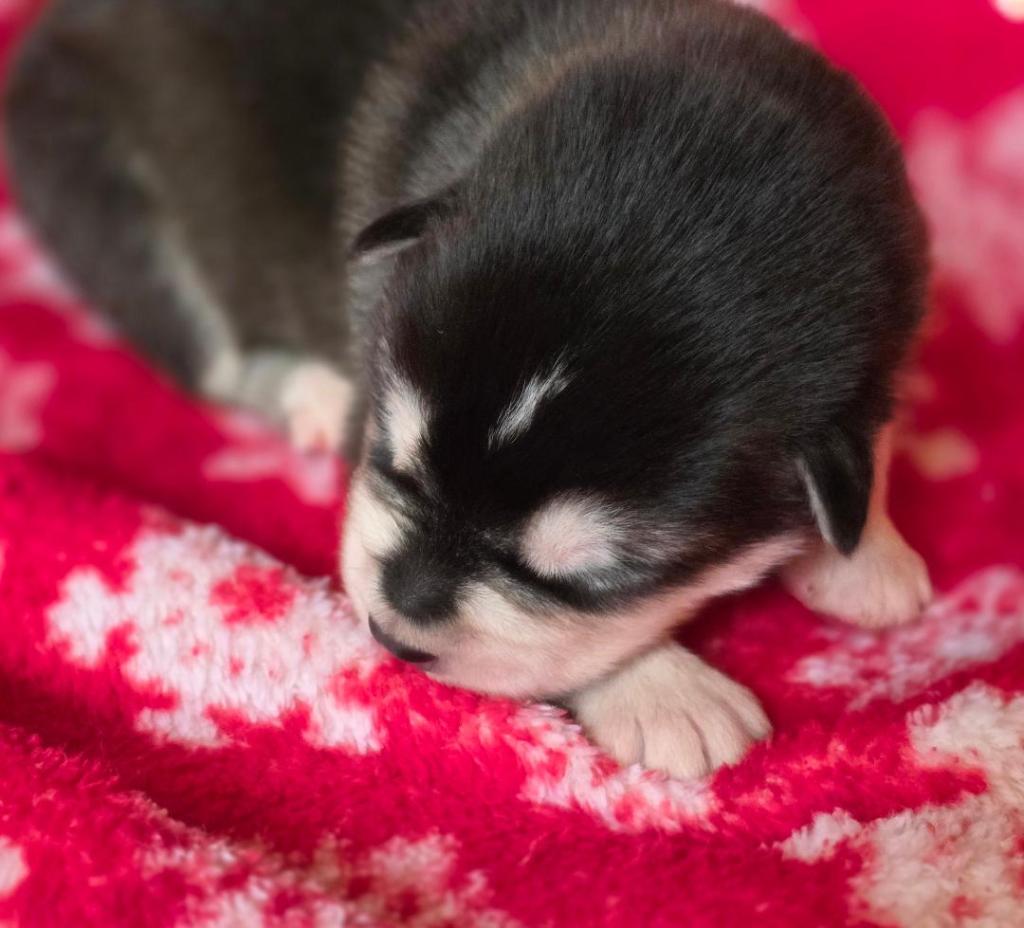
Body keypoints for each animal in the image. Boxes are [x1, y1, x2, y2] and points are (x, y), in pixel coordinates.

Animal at [6, 0, 932, 778]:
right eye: (395, 461)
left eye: (587, 576)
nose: (392, 631)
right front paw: (663, 690)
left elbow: (870, 434)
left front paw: (861, 550)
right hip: (104, 189)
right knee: (211, 353)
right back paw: (306, 390)